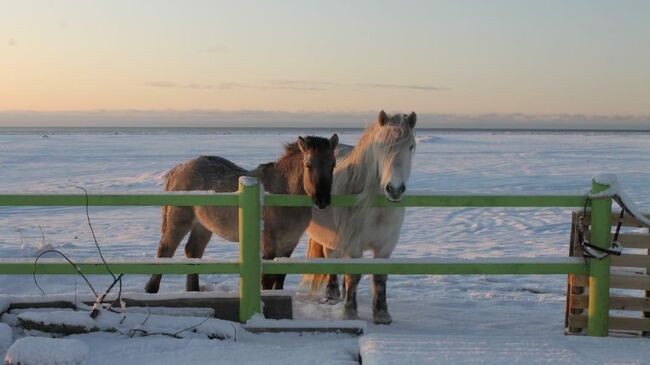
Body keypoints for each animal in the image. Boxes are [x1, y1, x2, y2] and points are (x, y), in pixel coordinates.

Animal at [146, 134, 340, 292]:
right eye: (309, 165)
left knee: (193, 251)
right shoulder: (269, 247)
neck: (281, 192)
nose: (322, 201)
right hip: (179, 221)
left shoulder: (288, 246)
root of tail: (178, 169)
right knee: (165, 250)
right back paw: (151, 289)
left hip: (203, 226)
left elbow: (280, 280)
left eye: (333, 165)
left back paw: (193, 291)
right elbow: (267, 282)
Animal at [302, 109, 416, 322]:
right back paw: (332, 296)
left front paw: (382, 314)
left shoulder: (385, 246)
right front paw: (349, 312)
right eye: (380, 146)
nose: (395, 189)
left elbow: (379, 277)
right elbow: (353, 276)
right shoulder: (353, 244)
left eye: (411, 146)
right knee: (332, 260)